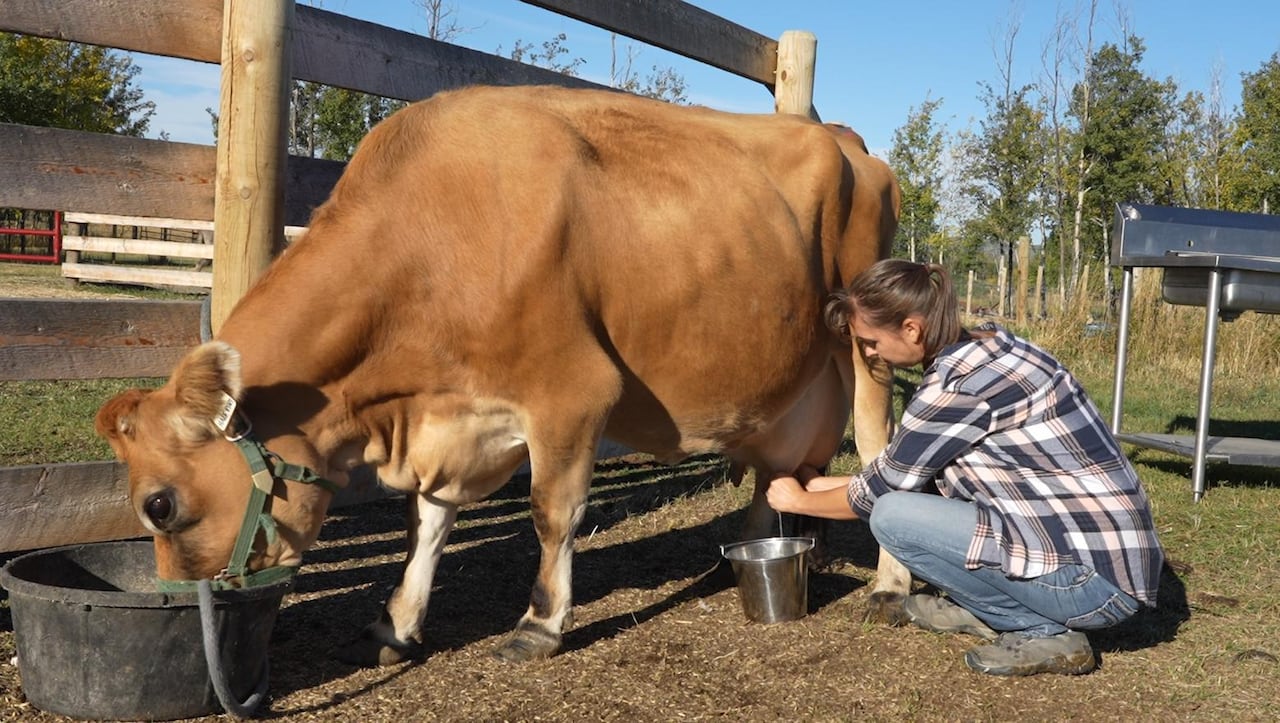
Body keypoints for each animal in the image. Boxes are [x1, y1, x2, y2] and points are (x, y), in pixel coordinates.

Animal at [94, 84, 906, 665]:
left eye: (159, 505)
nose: (184, 601)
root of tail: (844, 138)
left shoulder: (572, 394)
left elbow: (551, 512)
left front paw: (539, 623)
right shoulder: (448, 420)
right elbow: (425, 520)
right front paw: (397, 621)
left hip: (865, 344)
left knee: (876, 451)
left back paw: (891, 586)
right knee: (776, 472)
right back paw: (735, 564)